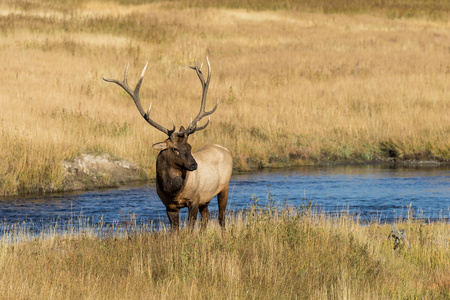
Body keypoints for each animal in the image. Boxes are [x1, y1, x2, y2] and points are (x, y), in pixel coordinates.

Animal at [103, 56, 232, 230]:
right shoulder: (169, 206)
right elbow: (175, 230)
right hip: (206, 198)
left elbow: (190, 229)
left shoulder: (194, 199)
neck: (173, 191)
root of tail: (225, 149)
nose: (194, 165)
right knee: (207, 217)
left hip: (224, 186)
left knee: (221, 217)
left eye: (189, 147)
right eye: (175, 149)